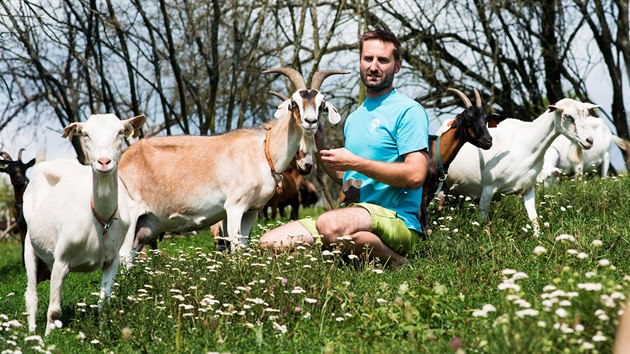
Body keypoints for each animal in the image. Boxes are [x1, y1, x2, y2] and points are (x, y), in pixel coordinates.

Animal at [22, 112, 146, 334]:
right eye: (86, 134)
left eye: (120, 132)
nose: (104, 162)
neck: (100, 219)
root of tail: (43, 165)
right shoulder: (61, 260)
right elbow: (54, 311)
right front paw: (48, 338)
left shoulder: (112, 260)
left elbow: (104, 303)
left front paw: (103, 333)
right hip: (30, 244)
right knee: (31, 294)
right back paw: (32, 333)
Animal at [118, 68, 350, 262]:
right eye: (294, 103)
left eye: (321, 105)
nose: (310, 122)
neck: (262, 151)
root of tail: (123, 159)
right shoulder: (234, 207)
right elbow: (236, 246)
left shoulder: (252, 211)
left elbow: (244, 245)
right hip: (131, 215)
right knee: (124, 253)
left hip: (147, 224)